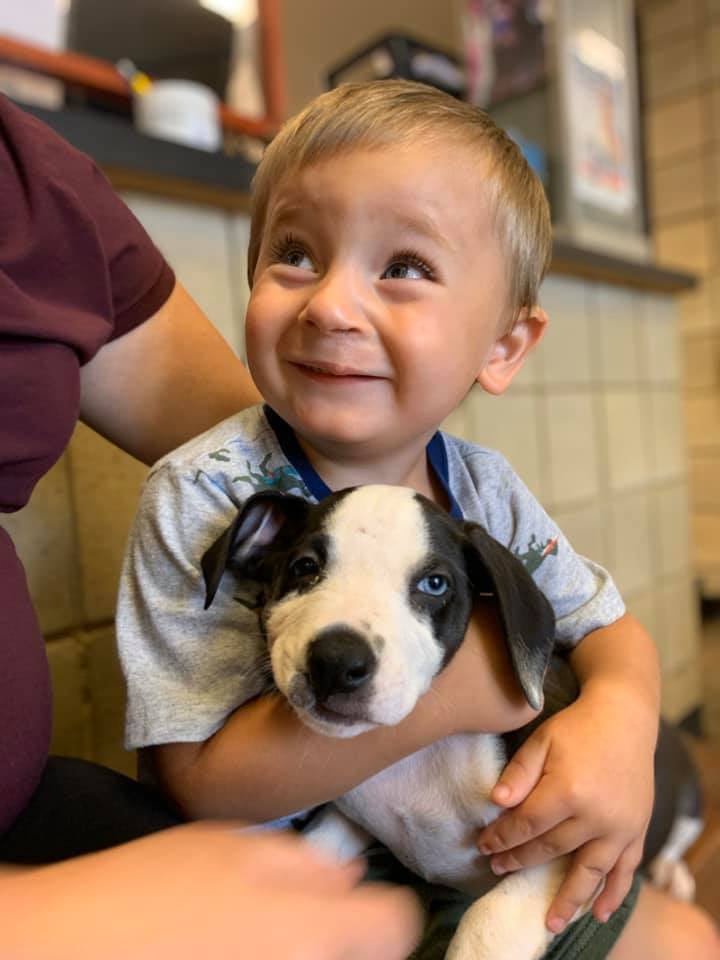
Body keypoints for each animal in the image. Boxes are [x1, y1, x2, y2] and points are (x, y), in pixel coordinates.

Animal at [202, 488, 704, 960]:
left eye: (435, 583)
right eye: (304, 567)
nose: (336, 663)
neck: (419, 759)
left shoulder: (563, 849)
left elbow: (485, 925)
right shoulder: (350, 817)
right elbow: (306, 857)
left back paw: (671, 872)